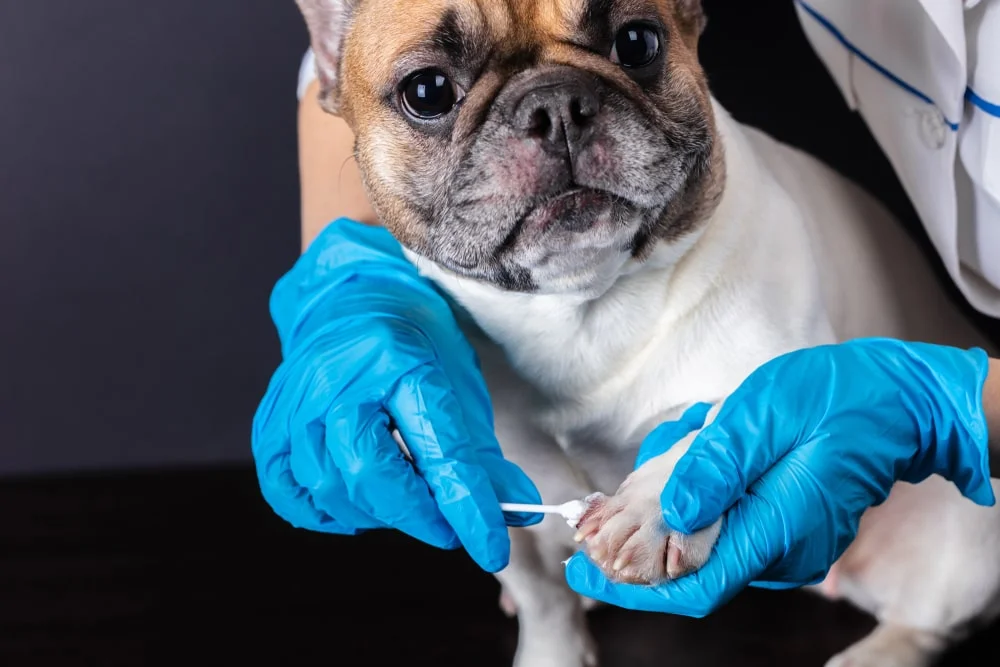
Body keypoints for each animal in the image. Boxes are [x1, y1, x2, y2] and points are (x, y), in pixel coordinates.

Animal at [294, 1, 1000, 667]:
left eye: (637, 43)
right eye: (428, 92)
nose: (554, 104)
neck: (581, 305)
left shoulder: (788, 370)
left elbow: (717, 424)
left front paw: (646, 510)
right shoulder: (486, 492)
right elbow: (541, 599)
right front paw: (552, 652)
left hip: (960, 546)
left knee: (929, 620)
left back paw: (876, 654)